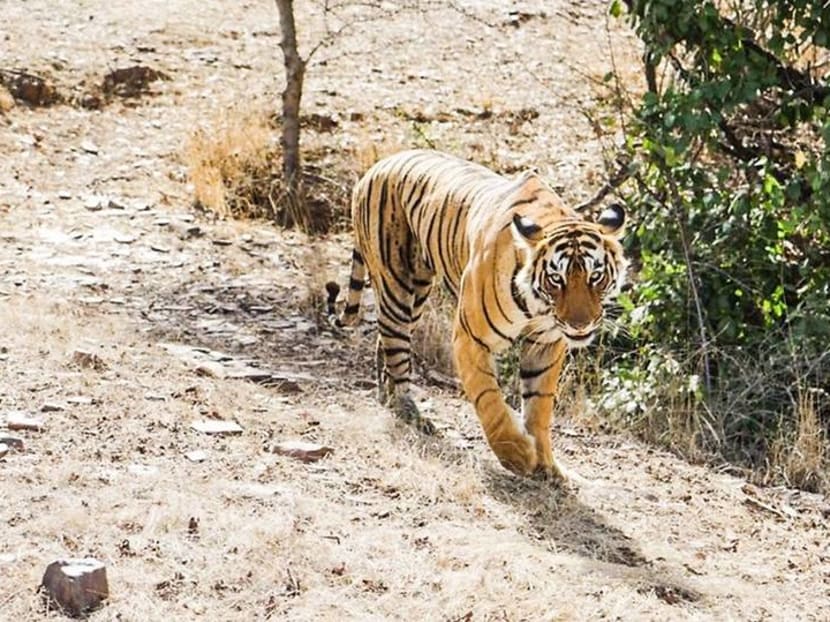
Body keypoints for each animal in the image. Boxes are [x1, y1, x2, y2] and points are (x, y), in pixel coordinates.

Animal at [328, 150, 628, 482]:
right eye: (556, 279)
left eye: (595, 276)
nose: (580, 325)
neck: (538, 305)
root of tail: (376, 167)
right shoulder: (470, 337)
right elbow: (489, 400)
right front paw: (518, 455)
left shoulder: (545, 343)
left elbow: (539, 406)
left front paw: (547, 466)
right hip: (397, 286)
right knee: (395, 346)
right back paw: (408, 411)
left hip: (417, 293)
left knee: (385, 340)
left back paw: (388, 398)